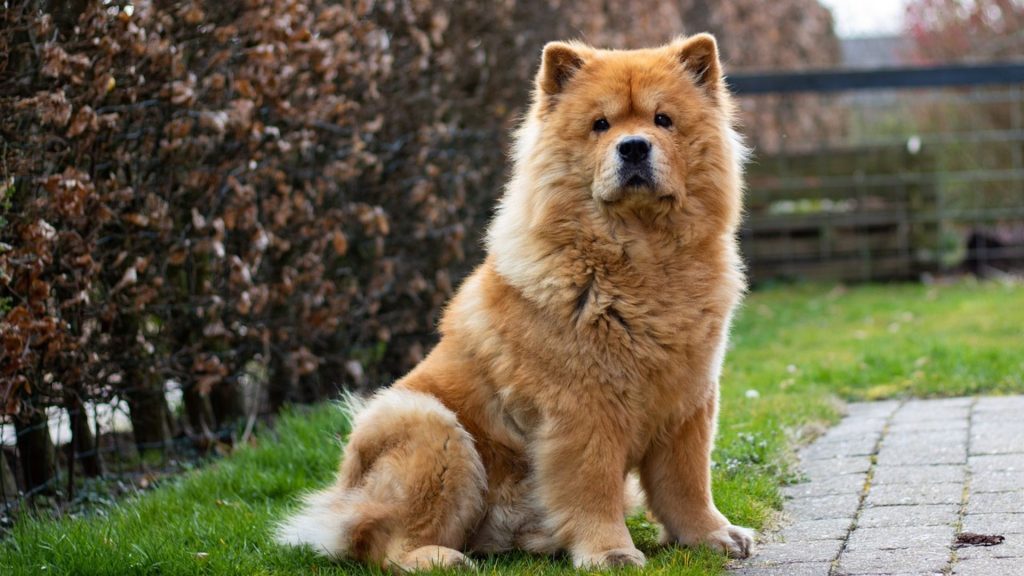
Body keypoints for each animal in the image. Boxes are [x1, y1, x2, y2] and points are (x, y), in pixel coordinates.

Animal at [278, 34, 753, 569]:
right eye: (601, 125)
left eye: (663, 120)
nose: (633, 147)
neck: (641, 258)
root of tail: (339, 501)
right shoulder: (583, 409)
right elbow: (595, 486)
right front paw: (610, 552)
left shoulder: (689, 401)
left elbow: (687, 483)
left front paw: (712, 536)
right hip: (432, 429)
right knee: (386, 544)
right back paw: (441, 558)